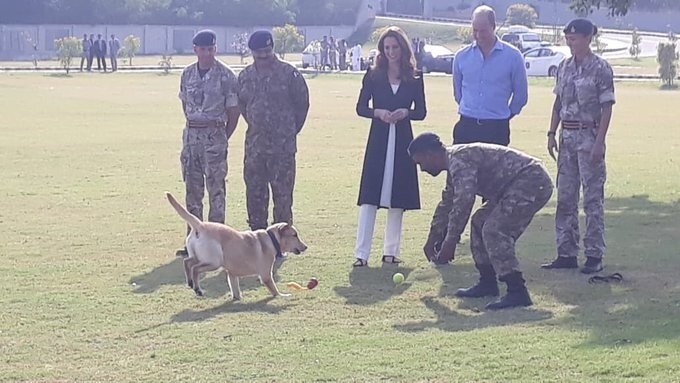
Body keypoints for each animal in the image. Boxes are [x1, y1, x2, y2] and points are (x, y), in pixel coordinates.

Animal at [165, 192, 308, 300]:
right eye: (295, 235)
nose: (305, 246)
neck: (271, 239)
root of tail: (200, 225)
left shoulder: (232, 274)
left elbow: (235, 289)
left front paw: (237, 298)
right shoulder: (266, 275)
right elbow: (275, 290)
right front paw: (284, 295)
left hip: (200, 256)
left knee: (187, 261)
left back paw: (190, 282)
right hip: (214, 261)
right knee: (195, 268)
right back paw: (197, 289)